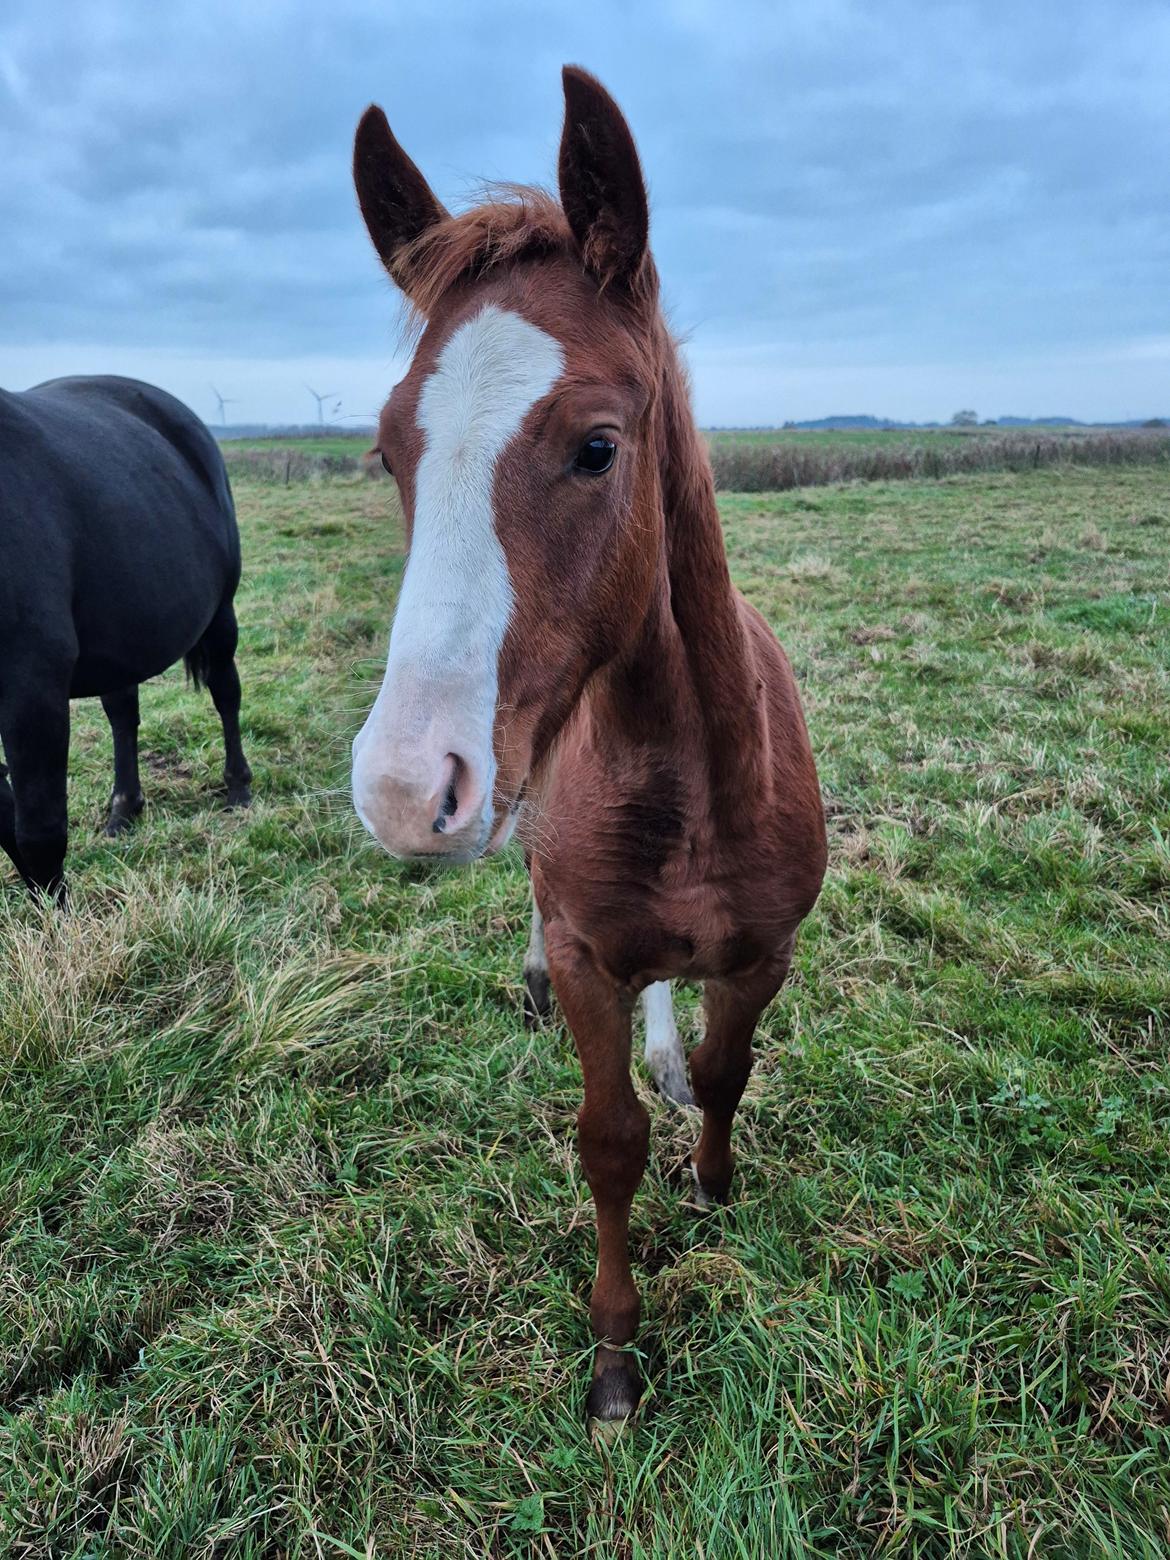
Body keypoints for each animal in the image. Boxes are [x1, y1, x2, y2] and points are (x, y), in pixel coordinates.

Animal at [0, 375, 252, 904]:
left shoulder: (32, 686)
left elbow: (38, 830)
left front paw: (59, 918)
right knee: (123, 716)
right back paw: (124, 807)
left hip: (221, 616)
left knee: (226, 693)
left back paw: (238, 787)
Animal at [352, 67, 829, 1428]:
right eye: (389, 454)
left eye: (598, 446)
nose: (402, 787)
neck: (700, 779)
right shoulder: (583, 954)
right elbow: (606, 1138)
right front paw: (616, 1348)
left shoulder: (763, 952)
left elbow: (724, 1074)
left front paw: (713, 1181)